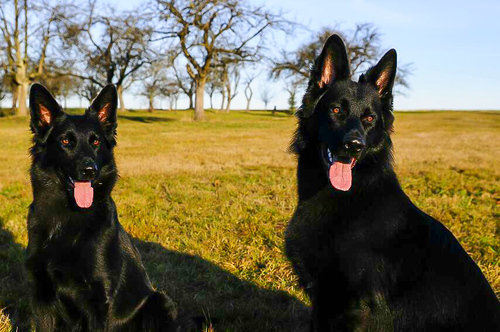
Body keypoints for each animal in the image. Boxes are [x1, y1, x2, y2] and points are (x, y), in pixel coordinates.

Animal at [25, 83, 182, 330]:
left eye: (96, 142)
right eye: (66, 141)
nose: (90, 170)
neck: (68, 216)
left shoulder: (99, 300)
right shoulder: (41, 296)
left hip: (159, 302)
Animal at [286, 35, 500, 330]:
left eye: (369, 118)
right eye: (337, 110)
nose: (354, 146)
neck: (351, 196)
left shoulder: (353, 307)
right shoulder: (324, 302)